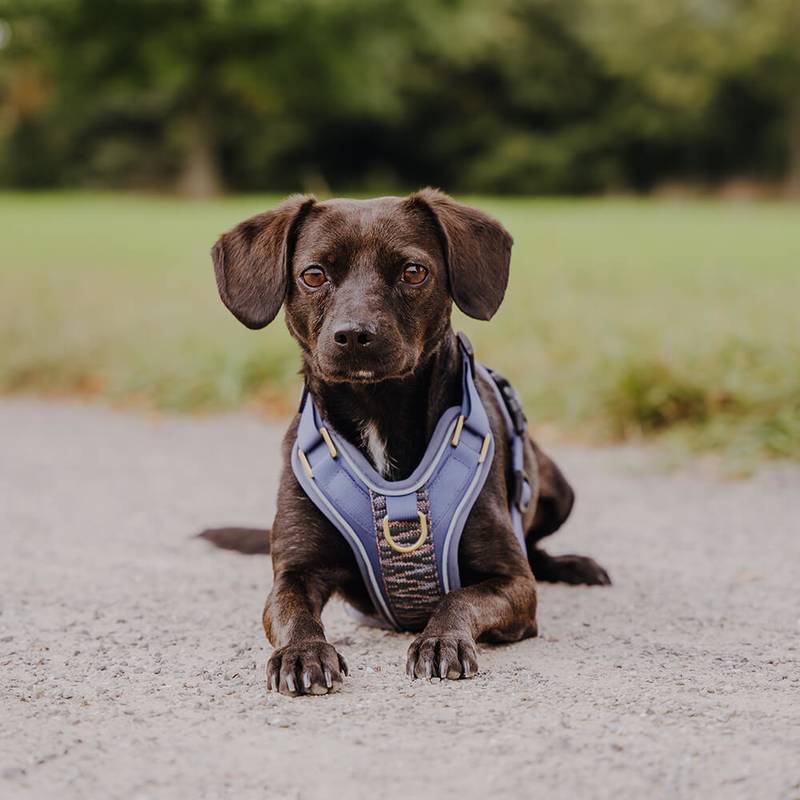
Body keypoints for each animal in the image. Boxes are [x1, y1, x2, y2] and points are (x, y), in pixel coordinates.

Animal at [201, 189, 609, 696]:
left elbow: (459, 597)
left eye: (413, 271)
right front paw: (302, 651)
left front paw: (441, 640)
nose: (354, 334)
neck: (378, 408)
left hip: (559, 490)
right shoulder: (293, 573)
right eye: (313, 275)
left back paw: (573, 565)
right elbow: (291, 611)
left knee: (535, 549)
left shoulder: (515, 585)